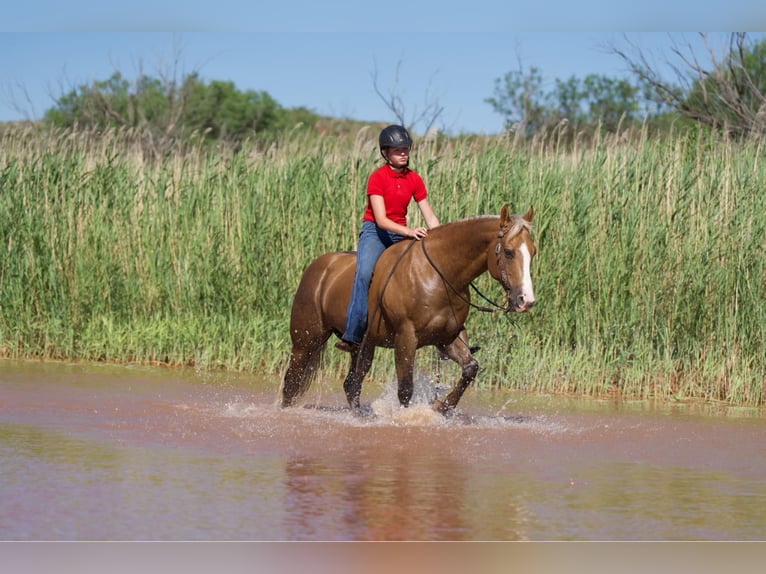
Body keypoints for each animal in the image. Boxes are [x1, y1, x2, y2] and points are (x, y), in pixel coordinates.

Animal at [280, 204, 536, 415]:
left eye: (533, 252)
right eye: (509, 252)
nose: (526, 300)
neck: (439, 273)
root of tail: (317, 268)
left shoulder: (447, 338)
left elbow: (470, 369)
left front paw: (440, 406)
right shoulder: (406, 338)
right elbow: (405, 388)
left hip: (363, 346)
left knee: (352, 384)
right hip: (305, 342)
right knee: (291, 383)